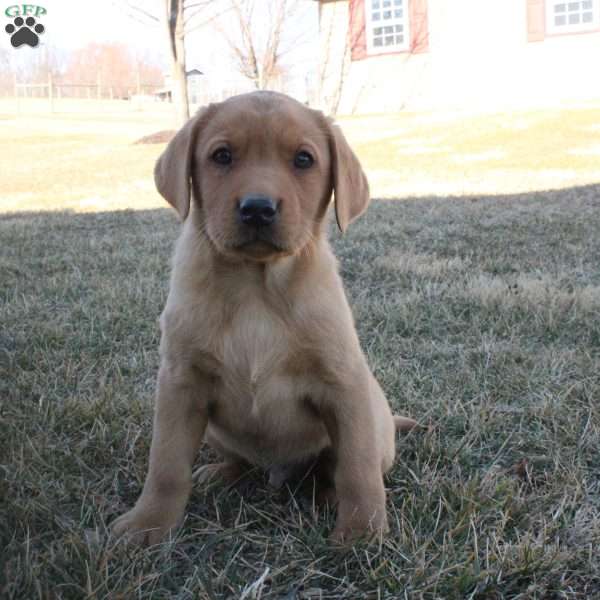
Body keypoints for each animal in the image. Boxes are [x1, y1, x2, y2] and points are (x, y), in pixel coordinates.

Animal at [112, 91, 414, 548]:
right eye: (221, 155)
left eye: (304, 159)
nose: (258, 208)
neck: (256, 287)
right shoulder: (181, 382)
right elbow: (165, 465)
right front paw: (148, 524)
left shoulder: (343, 383)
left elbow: (357, 468)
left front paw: (362, 531)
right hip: (214, 429)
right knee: (237, 462)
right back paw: (219, 472)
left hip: (374, 425)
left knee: (340, 468)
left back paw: (328, 495)